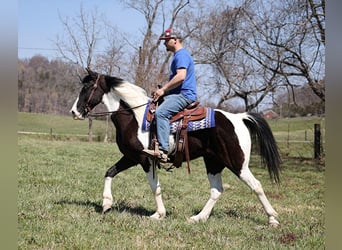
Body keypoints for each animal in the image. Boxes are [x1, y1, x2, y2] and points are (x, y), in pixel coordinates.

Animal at [69, 68, 280, 227]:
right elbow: (110, 172)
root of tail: (239, 117)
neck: (134, 117)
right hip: (213, 162)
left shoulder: (146, 159)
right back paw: (198, 217)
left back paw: (272, 219)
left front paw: (158, 214)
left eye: (87, 87)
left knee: (256, 186)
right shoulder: (131, 157)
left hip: (237, 164)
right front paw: (106, 204)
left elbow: (155, 187)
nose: (73, 112)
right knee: (216, 190)